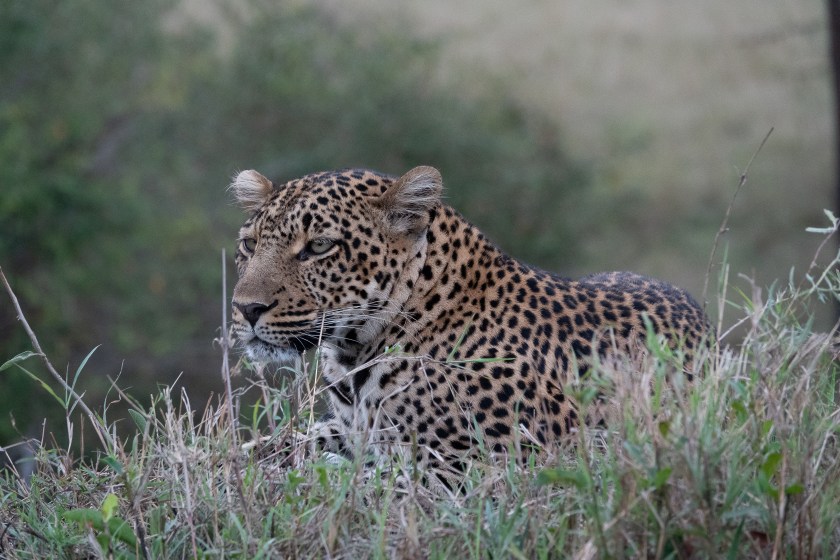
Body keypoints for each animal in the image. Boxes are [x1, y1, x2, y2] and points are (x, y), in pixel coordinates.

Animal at [230, 165, 712, 480]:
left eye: (319, 247)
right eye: (249, 245)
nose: (245, 308)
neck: (353, 355)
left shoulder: (462, 471)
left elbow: (365, 485)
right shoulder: (350, 429)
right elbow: (278, 443)